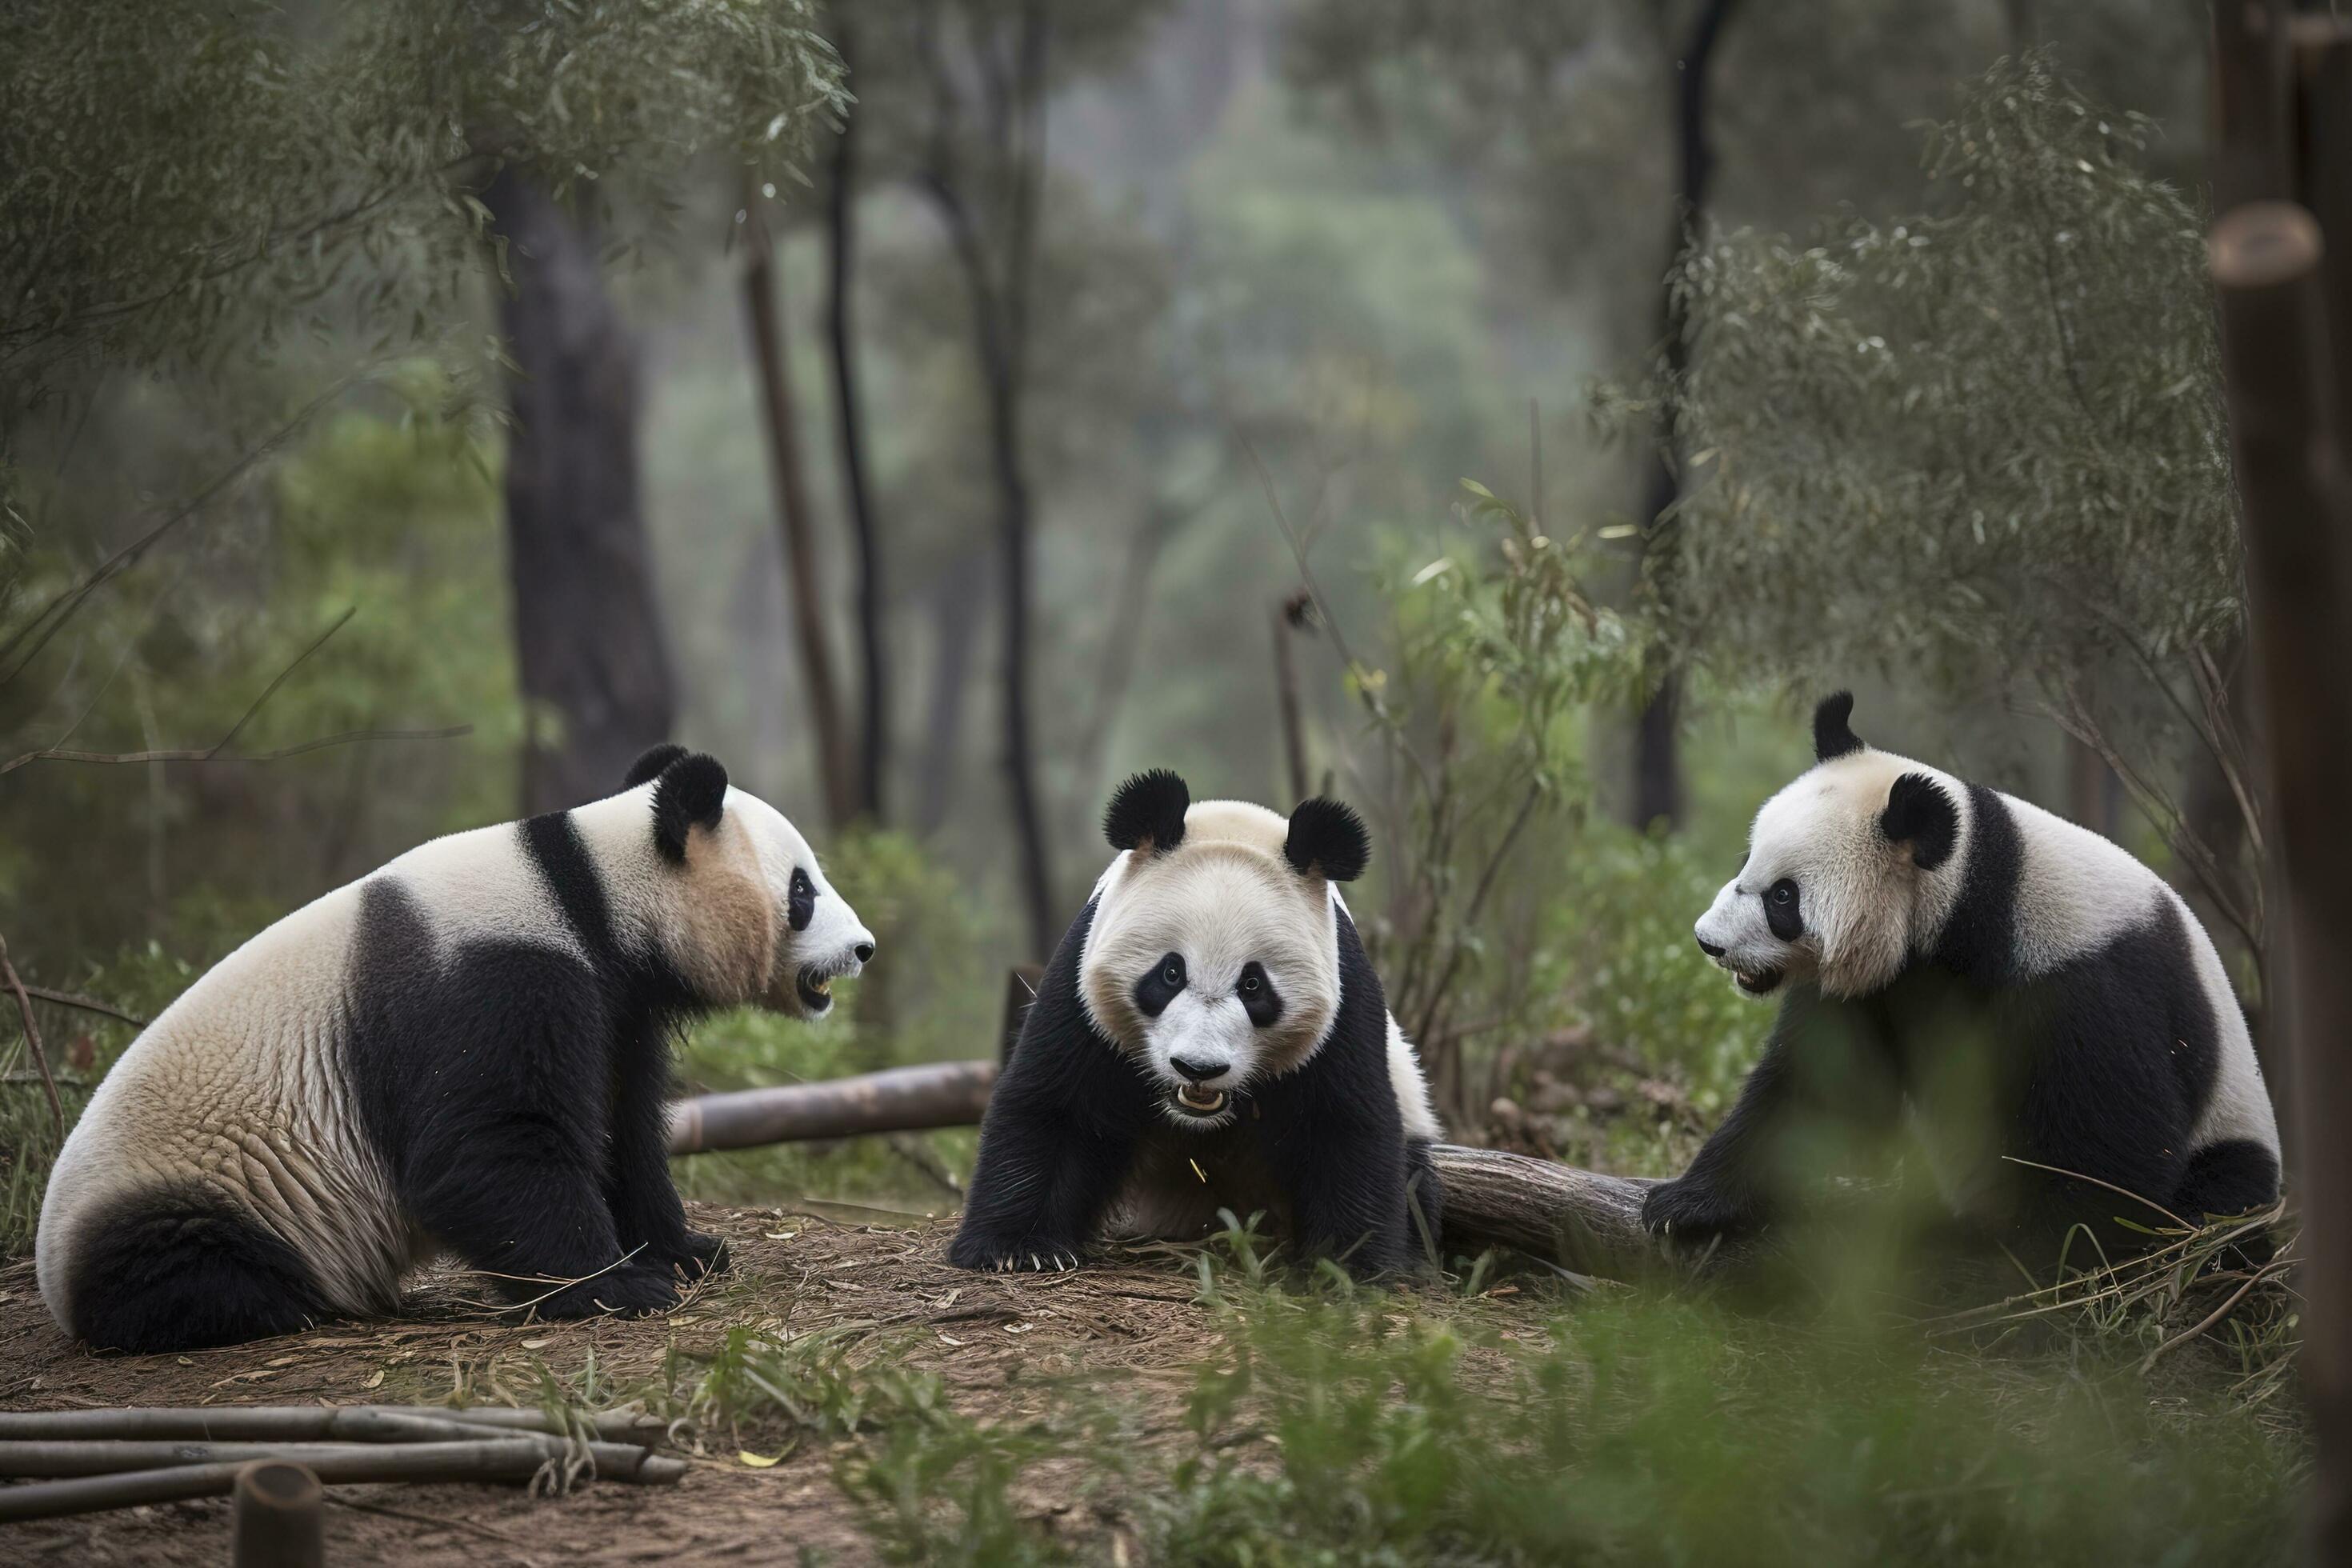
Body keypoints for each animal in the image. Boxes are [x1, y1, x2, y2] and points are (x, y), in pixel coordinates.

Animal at [36, 747, 874, 1354]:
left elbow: (621, 1126)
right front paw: (615, 1287)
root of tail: (51, 1279)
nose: (863, 948)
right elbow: (487, 1148)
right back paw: (286, 1303)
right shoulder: (488, 973)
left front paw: (686, 1249)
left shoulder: (614, 996)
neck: (582, 882)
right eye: (803, 890)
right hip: (193, 1188)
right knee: (200, 1272)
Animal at [945, 770, 1439, 1278]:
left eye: (1253, 985)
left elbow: (1346, 1128)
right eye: (1170, 973)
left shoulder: (1344, 1006)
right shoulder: (1081, 988)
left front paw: (1350, 1267)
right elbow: (1057, 1107)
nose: (1198, 1069)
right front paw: (1017, 1248)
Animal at [1646, 690, 2286, 1260]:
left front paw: (2038, 1257)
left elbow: (2113, 1151)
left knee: (2218, 1198)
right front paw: (1685, 1204)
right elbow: (1816, 1091)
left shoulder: (2083, 980)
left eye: (1783, 898)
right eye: (1746, 864)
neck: (1978, 890)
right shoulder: (1885, 984)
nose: (1709, 942)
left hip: (2233, 1134)